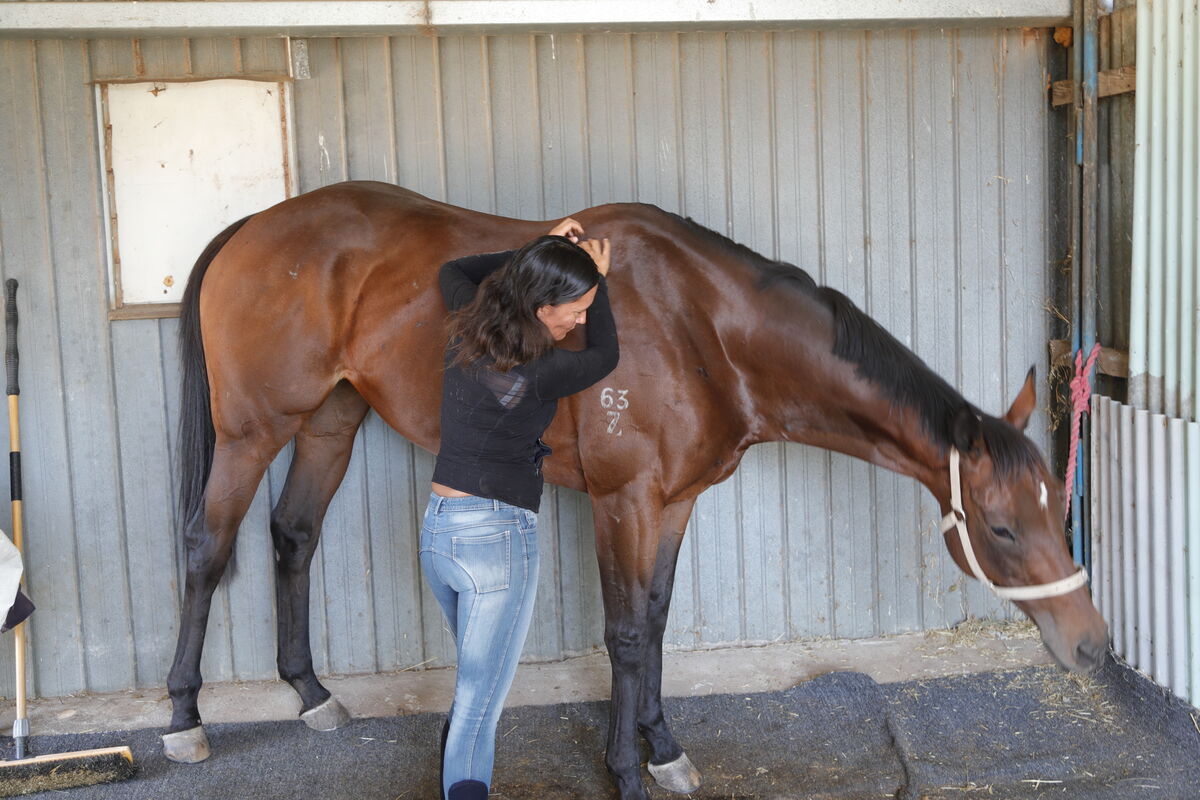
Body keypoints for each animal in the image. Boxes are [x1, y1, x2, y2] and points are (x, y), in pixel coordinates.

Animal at [162, 180, 1108, 800]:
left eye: (1055, 509)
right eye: (1000, 527)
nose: (1094, 647)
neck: (704, 328)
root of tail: (256, 225)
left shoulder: (677, 501)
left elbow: (654, 623)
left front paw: (664, 748)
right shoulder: (624, 501)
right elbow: (622, 636)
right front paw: (626, 771)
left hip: (330, 418)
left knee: (293, 534)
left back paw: (313, 696)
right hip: (253, 430)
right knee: (207, 548)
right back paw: (184, 720)